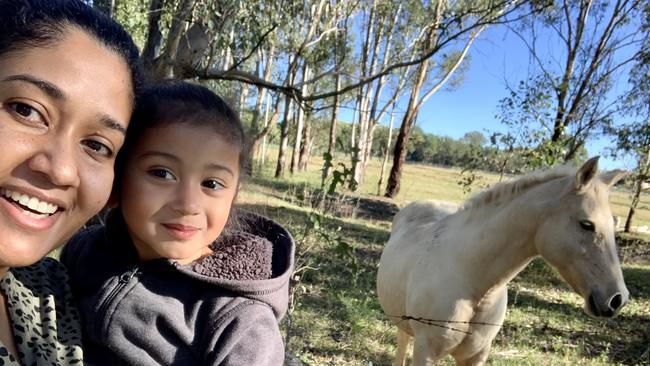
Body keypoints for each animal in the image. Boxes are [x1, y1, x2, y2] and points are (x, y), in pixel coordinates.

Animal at [374, 158, 628, 366]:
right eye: (586, 224)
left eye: (613, 224)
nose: (617, 299)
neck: (472, 282)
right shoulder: (425, 352)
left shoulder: (476, 357)